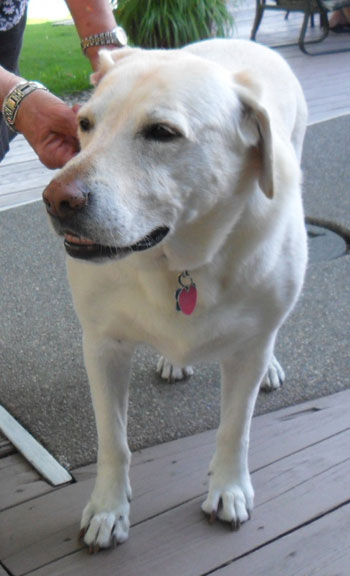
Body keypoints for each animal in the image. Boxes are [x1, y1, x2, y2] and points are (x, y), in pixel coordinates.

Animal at [43, 38, 306, 552]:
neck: (178, 262)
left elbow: (235, 428)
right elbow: (113, 441)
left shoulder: (247, 351)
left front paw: (229, 487)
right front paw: (108, 508)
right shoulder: (102, 345)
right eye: (85, 124)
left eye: (162, 133)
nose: (56, 200)